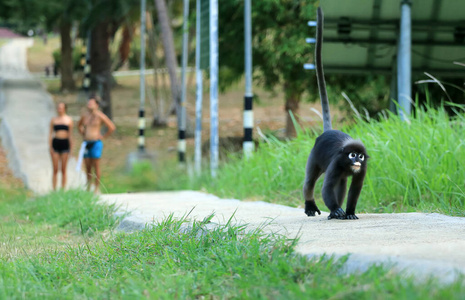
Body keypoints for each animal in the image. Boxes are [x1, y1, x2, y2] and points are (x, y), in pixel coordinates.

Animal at [302, 5, 368, 219]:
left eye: (360, 156)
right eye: (352, 155)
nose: (356, 160)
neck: (348, 165)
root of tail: (328, 131)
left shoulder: (363, 169)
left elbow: (355, 189)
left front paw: (349, 212)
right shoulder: (336, 163)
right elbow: (325, 188)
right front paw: (336, 210)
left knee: (342, 184)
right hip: (314, 157)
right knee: (310, 182)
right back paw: (312, 206)